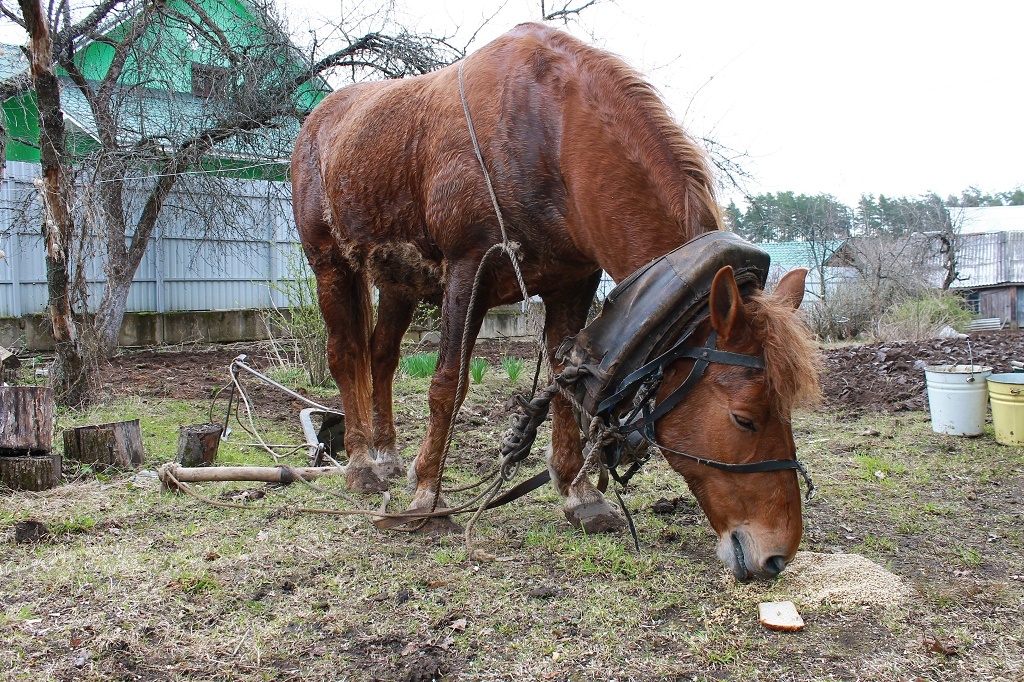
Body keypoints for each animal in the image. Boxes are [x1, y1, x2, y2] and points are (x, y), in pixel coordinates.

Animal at [292, 25, 819, 577]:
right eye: (744, 417)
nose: (776, 555)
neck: (551, 134)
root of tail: (318, 122)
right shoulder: (466, 273)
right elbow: (447, 387)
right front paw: (427, 499)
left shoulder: (573, 283)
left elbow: (567, 389)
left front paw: (578, 496)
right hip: (332, 267)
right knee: (347, 357)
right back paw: (360, 465)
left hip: (399, 282)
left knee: (382, 357)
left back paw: (387, 455)